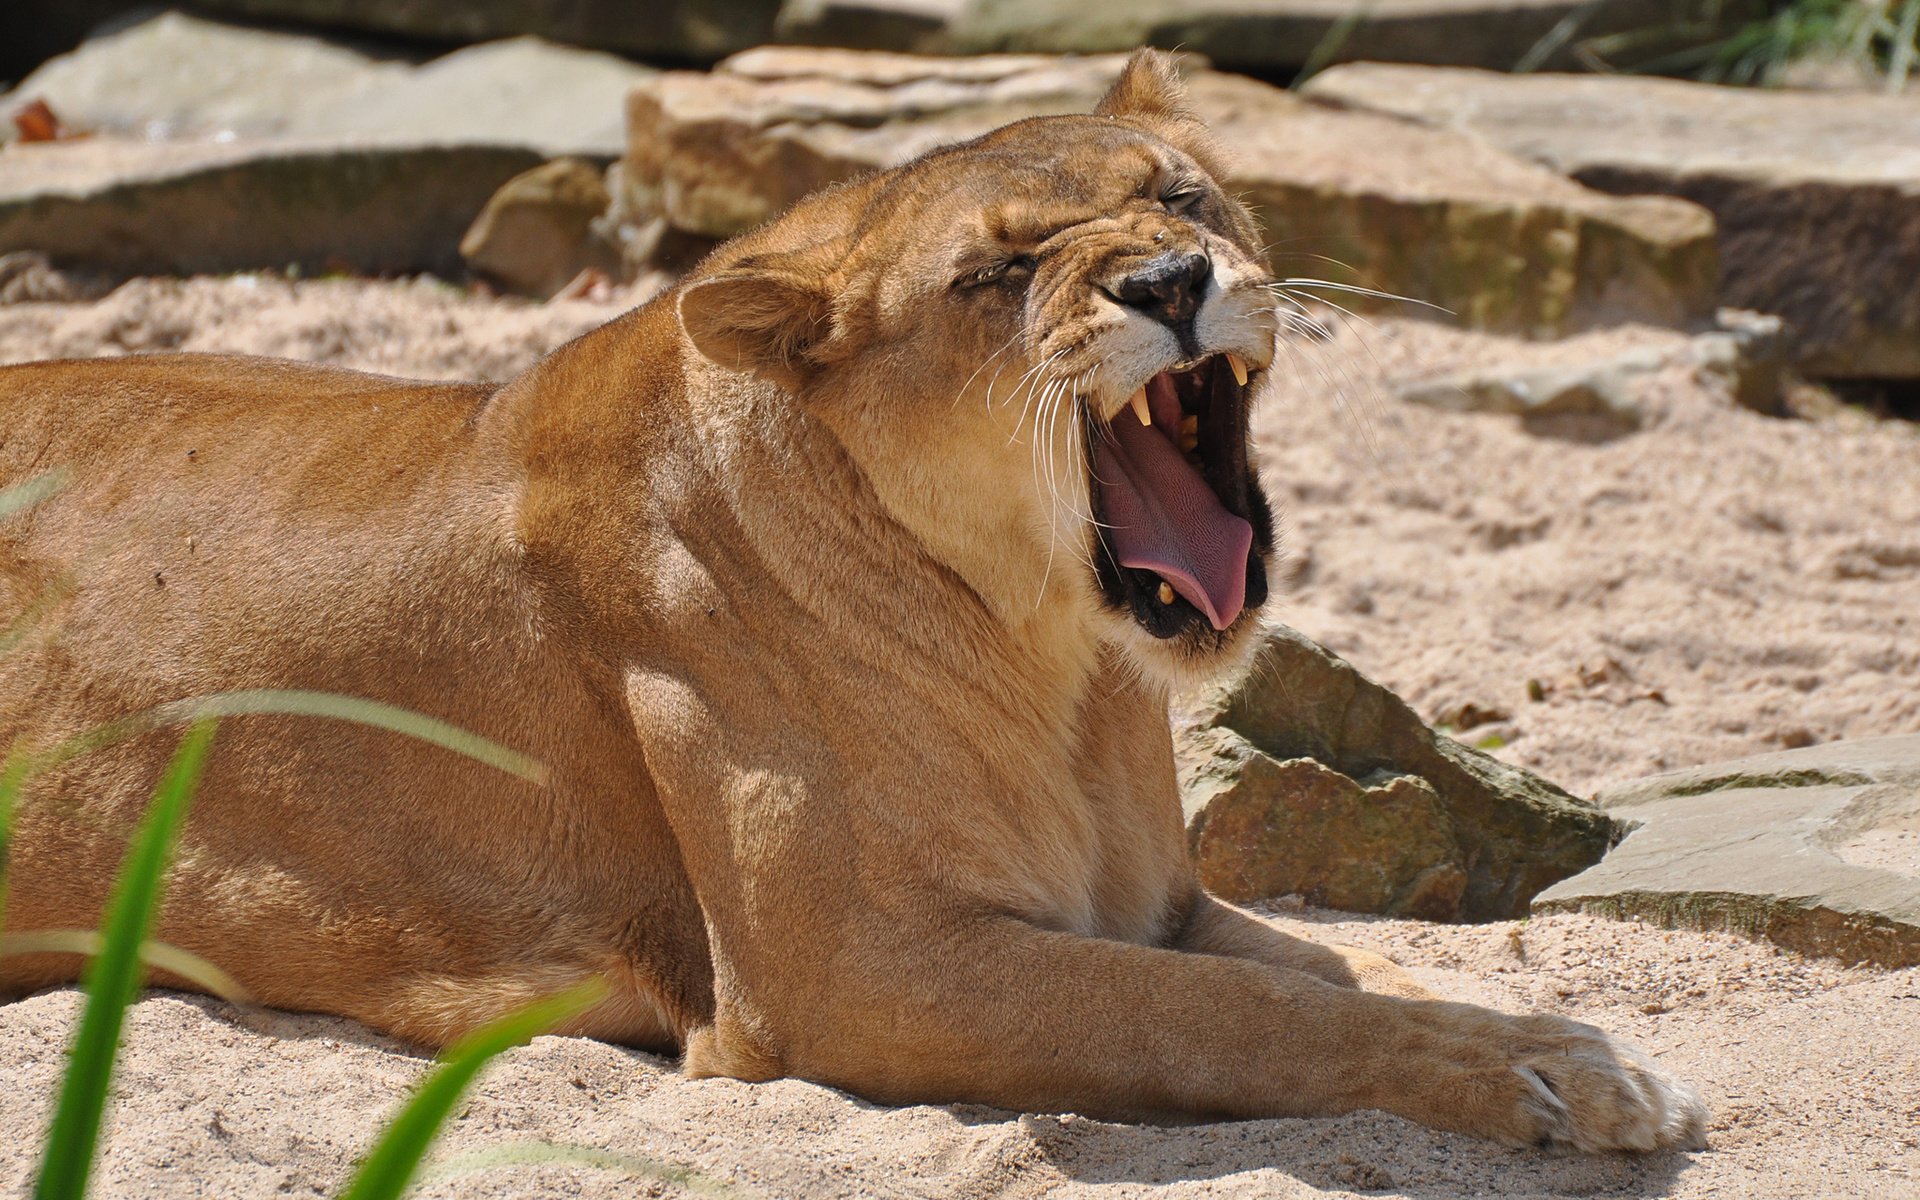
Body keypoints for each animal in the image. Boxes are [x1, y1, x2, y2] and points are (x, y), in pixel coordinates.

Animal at [3, 49, 1712, 1152]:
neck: (1060, 665)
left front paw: (1586, 1058)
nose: (1169, 284)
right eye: (995, 279)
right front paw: (1538, 1087)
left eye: (1183, 198)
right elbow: (1237, 1022)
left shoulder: (1163, 904)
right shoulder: (858, 976)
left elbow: (1361, 971)